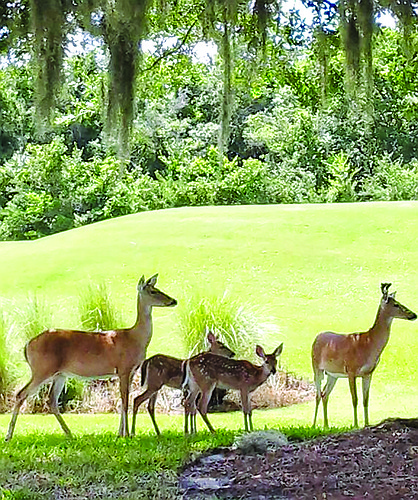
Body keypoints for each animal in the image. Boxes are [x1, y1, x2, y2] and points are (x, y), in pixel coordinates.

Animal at [5, 274, 177, 442]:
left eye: (157, 288)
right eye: (153, 291)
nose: (173, 301)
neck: (134, 338)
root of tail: (27, 345)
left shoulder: (131, 371)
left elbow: (123, 400)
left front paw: (120, 434)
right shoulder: (124, 368)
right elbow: (125, 401)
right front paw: (126, 434)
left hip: (60, 374)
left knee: (51, 400)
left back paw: (70, 434)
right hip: (42, 369)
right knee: (21, 394)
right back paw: (8, 436)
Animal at [312, 284, 416, 428]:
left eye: (399, 302)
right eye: (396, 304)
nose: (414, 315)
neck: (368, 344)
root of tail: (317, 336)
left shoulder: (368, 373)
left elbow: (366, 399)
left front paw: (367, 424)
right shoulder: (351, 370)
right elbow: (354, 399)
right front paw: (355, 425)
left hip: (333, 374)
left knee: (324, 394)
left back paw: (326, 425)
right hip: (316, 367)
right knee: (317, 394)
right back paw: (313, 425)